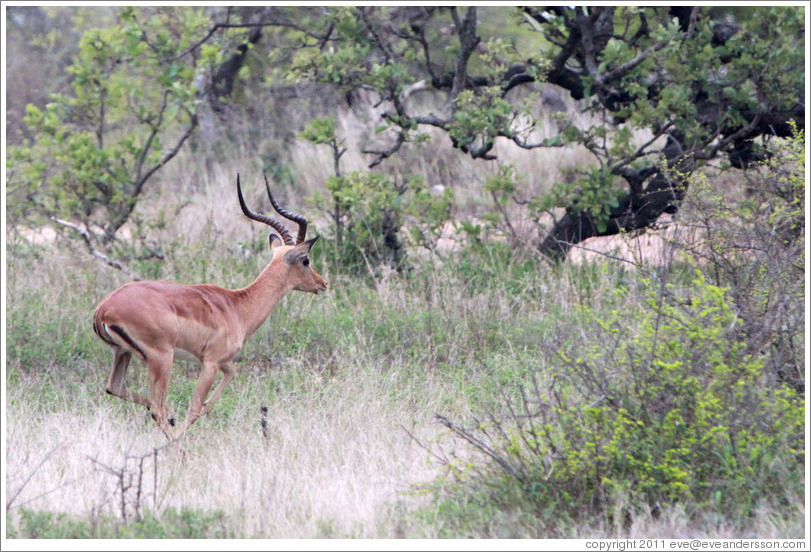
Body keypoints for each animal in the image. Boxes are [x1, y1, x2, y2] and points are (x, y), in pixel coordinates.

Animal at [93, 174, 327, 440]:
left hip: (123, 353)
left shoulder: (224, 362)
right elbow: (195, 407)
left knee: (115, 388)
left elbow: (221, 387)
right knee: (156, 408)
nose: (323, 283)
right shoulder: (210, 363)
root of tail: (103, 310)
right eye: (306, 260)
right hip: (162, 359)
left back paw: (171, 418)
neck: (237, 306)